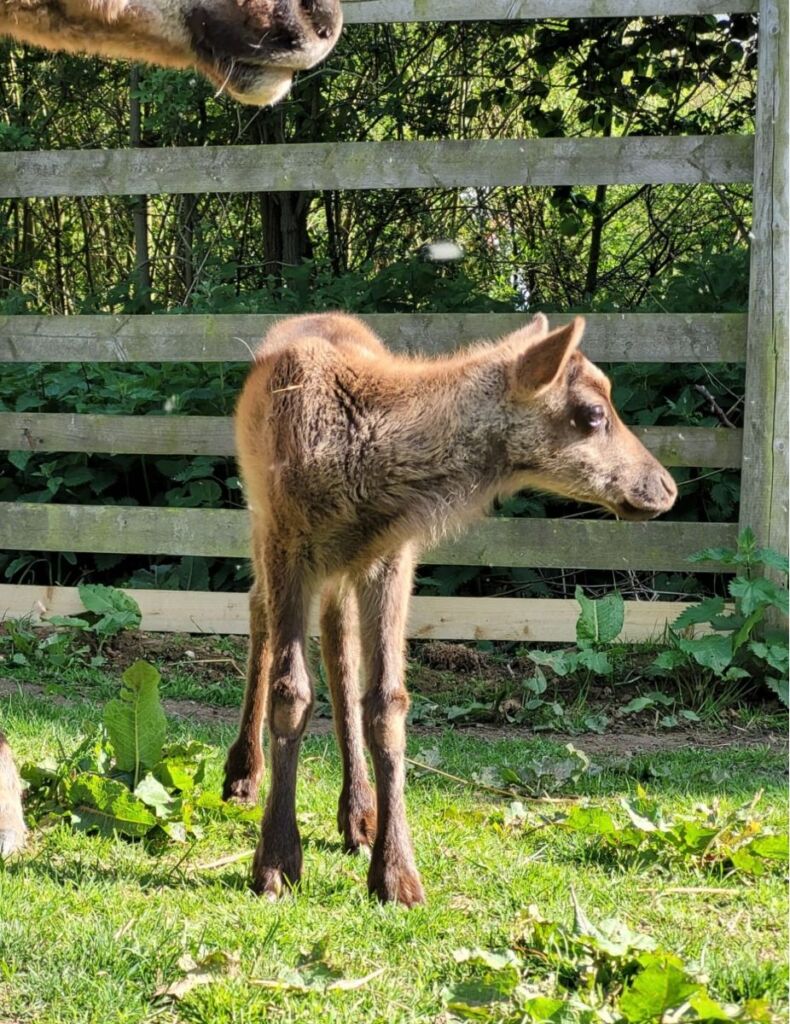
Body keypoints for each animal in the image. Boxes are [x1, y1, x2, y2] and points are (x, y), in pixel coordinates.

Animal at [221, 311, 678, 905]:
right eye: (594, 413)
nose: (665, 486)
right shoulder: (286, 540)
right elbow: (291, 693)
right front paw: (275, 863)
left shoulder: (390, 556)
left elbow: (386, 703)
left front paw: (396, 873)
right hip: (261, 523)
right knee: (258, 614)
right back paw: (242, 774)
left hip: (338, 571)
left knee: (338, 644)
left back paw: (358, 813)